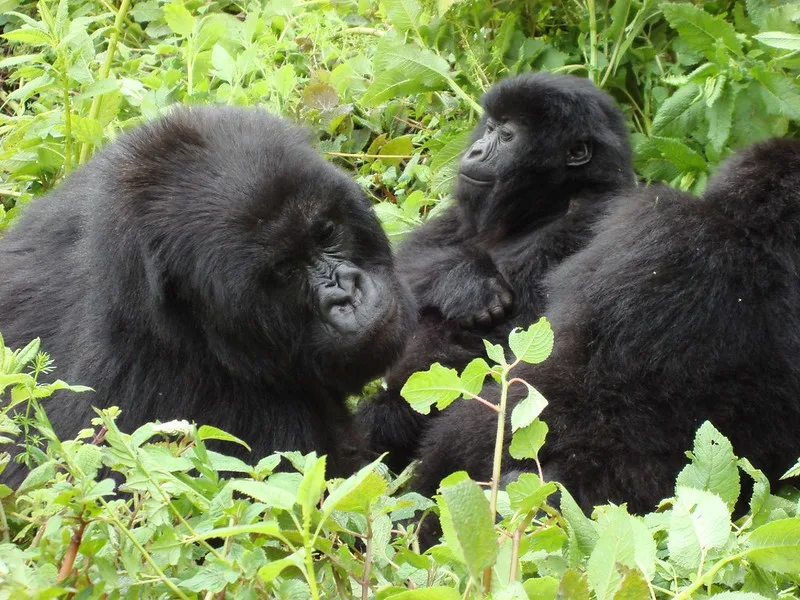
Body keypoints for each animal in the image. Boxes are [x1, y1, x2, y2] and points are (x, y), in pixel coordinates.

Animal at [360, 72, 636, 472]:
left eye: (507, 136)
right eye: (489, 127)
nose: (475, 151)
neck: (550, 203)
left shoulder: (595, 215)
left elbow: (532, 344)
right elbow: (404, 266)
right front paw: (466, 285)